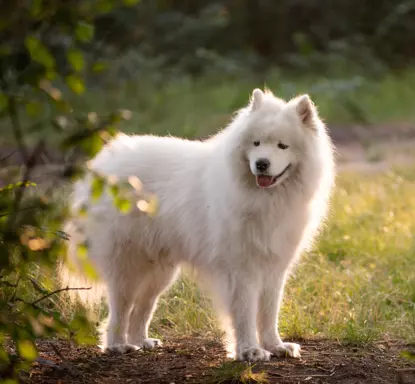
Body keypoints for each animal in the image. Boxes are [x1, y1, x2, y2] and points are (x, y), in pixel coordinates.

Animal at [66, 88, 338, 362]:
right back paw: (117, 345)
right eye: (256, 143)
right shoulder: (242, 269)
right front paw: (249, 350)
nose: (261, 163)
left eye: (282, 146)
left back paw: (141, 341)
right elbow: (245, 314)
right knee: (120, 309)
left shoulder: (274, 268)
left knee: (142, 308)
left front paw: (275, 346)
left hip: (160, 272)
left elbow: (269, 313)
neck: (265, 199)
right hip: (128, 266)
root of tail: (102, 166)